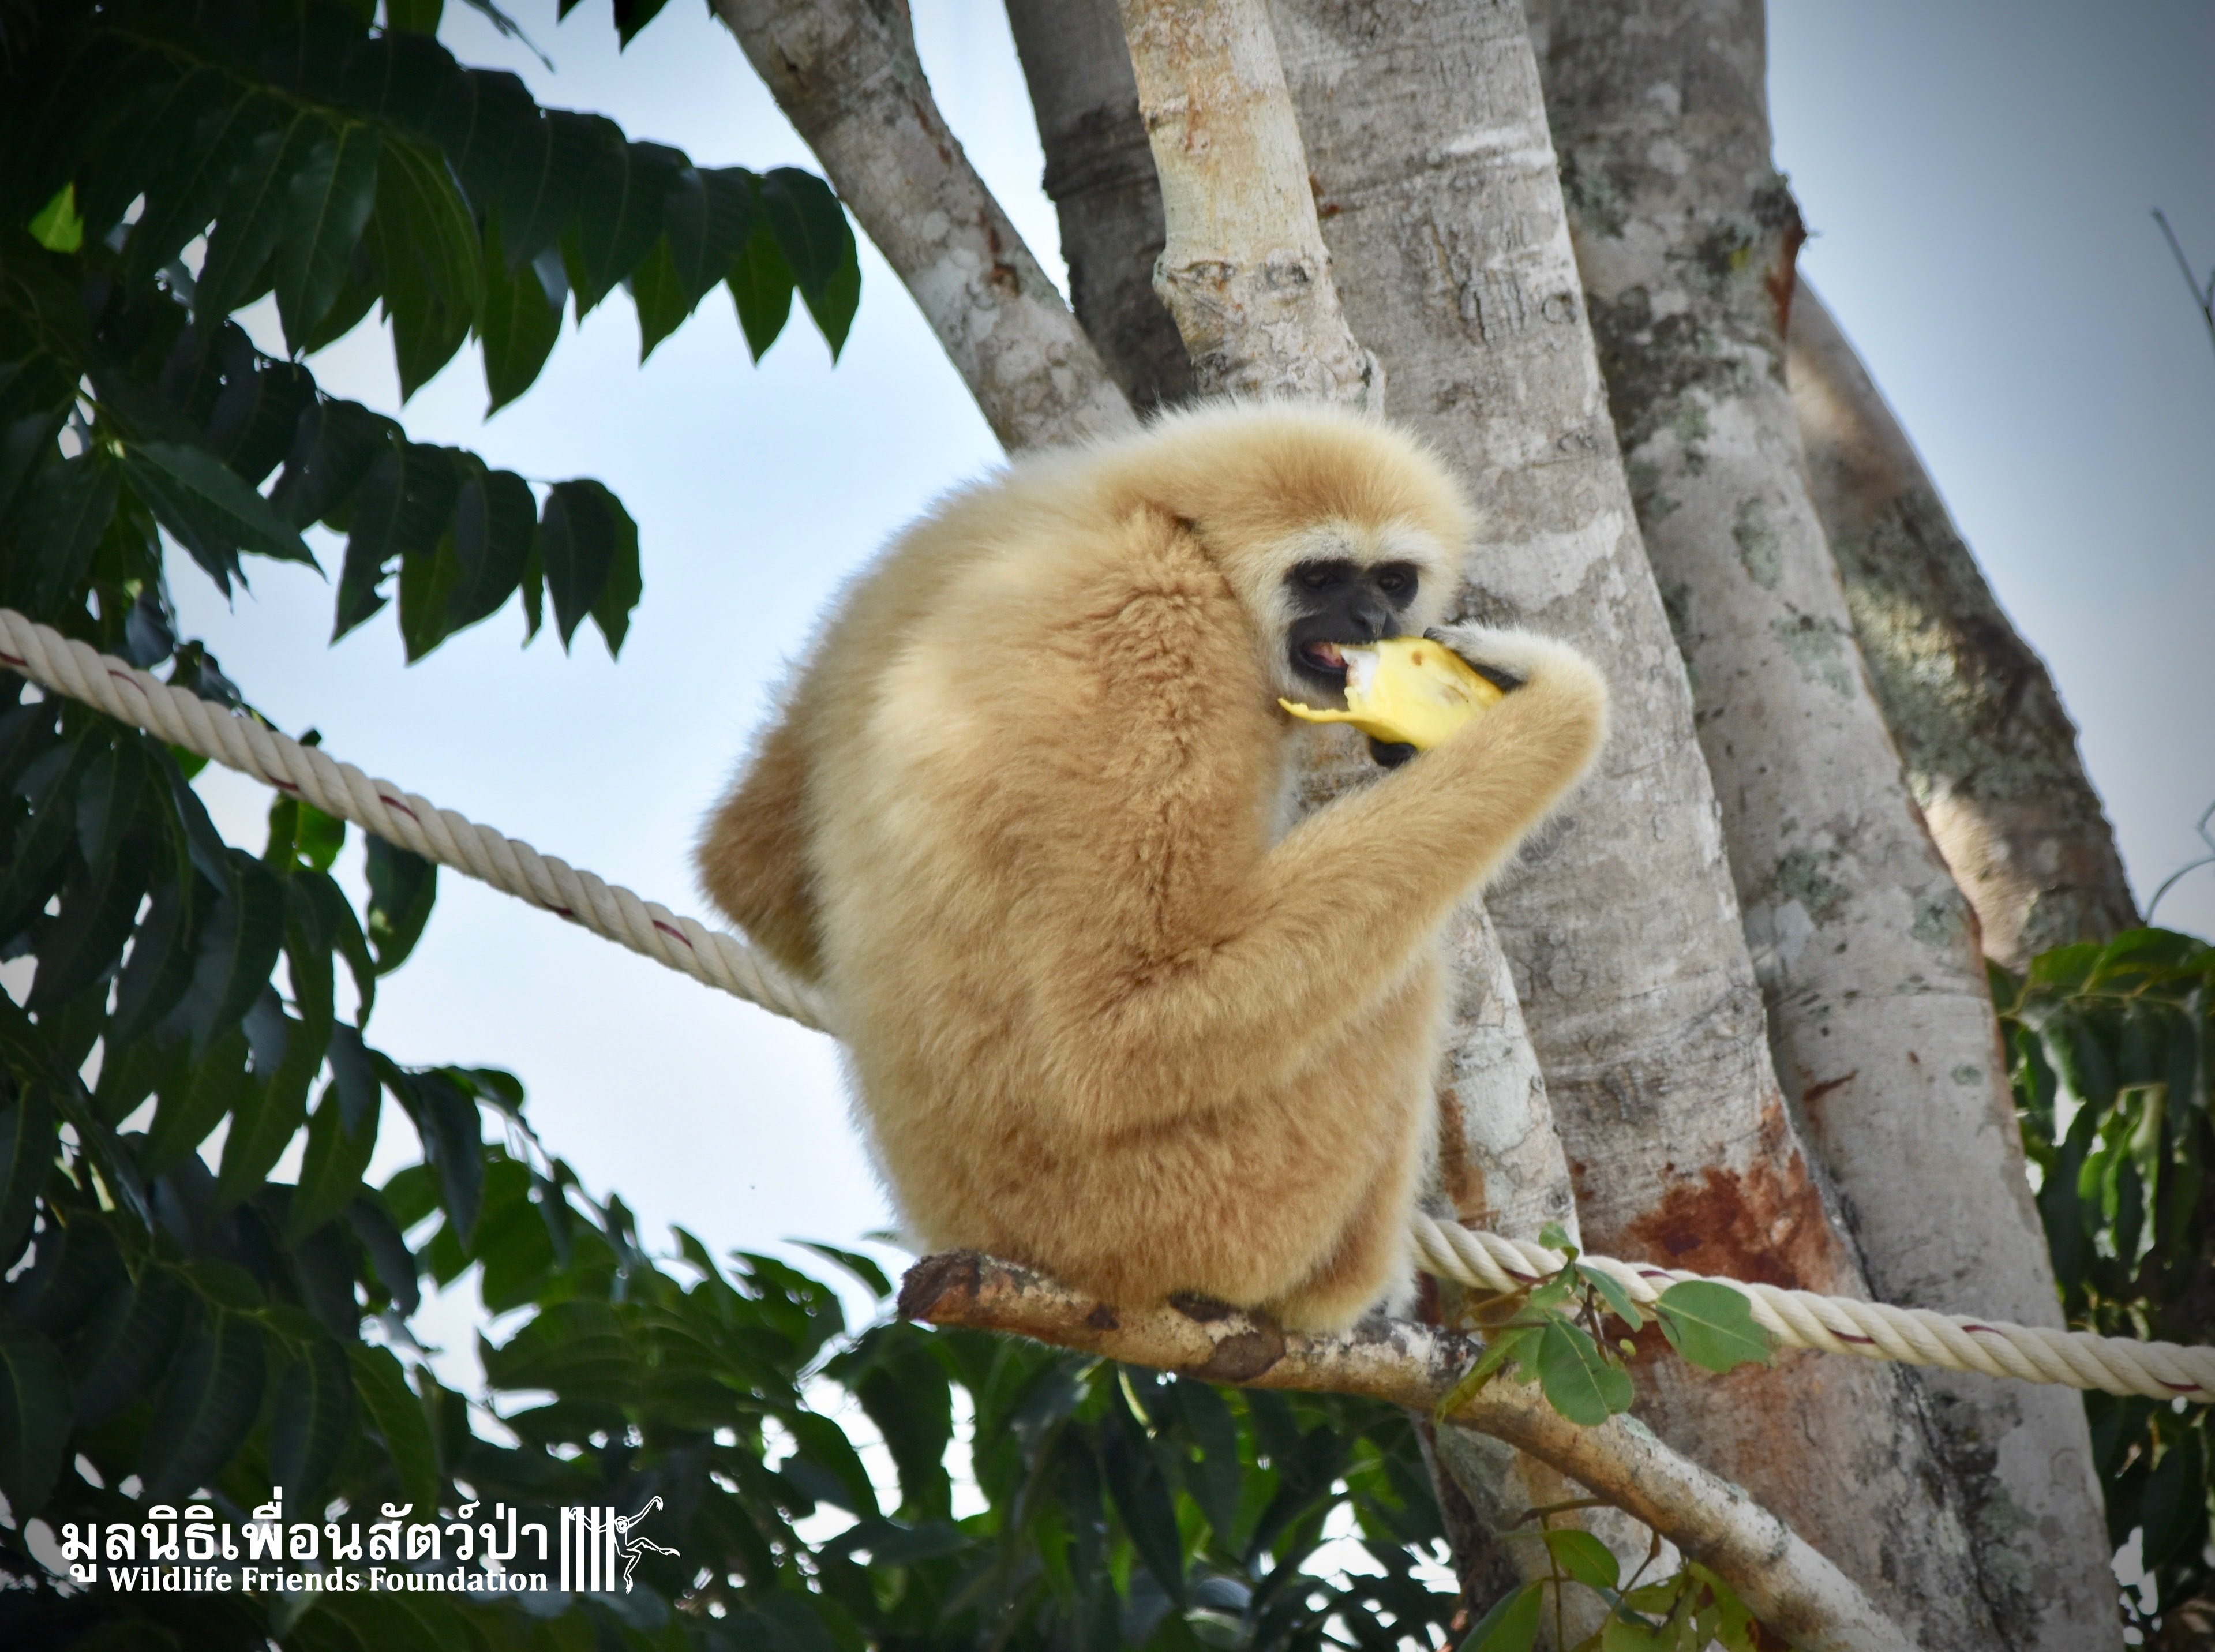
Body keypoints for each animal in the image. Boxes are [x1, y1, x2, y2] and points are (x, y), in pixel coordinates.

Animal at [698, 402, 1608, 1331]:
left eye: (1391, 581)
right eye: (1320, 577)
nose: (1369, 622)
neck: (1150, 514)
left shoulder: (937, 540)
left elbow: (744, 866)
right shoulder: (1164, 628)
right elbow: (1127, 1023)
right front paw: (1558, 699)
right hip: (1188, 1209)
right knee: (1402, 982)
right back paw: (1339, 1295)